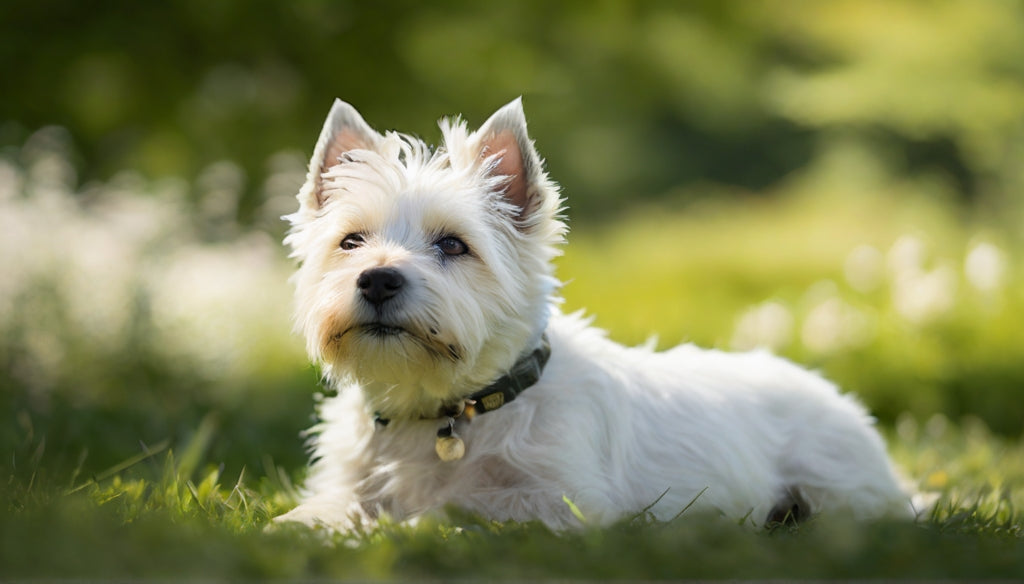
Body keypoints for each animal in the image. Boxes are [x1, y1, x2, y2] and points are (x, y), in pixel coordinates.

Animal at [276, 97, 917, 528]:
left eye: (453, 244)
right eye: (351, 241)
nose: (377, 279)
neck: (442, 409)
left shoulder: (565, 502)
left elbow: (456, 507)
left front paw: (405, 524)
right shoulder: (349, 482)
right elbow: (322, 510)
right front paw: (302, 527)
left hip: (839, 488)